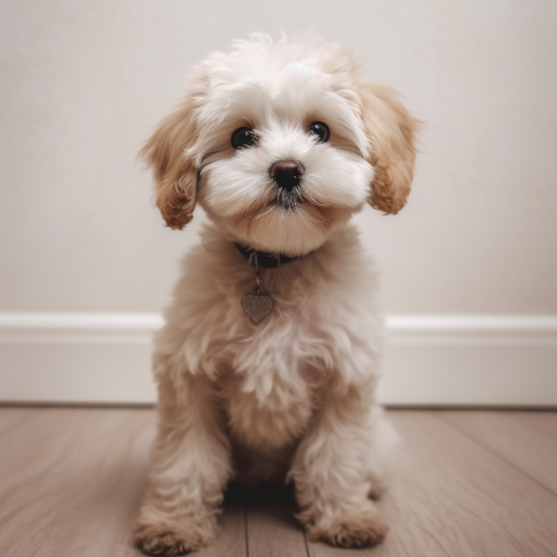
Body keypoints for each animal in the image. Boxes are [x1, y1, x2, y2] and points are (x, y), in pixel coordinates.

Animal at [132, 33, 414, 552]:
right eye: (242, 137)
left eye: (320, 130)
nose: (286, 170)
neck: (276, 265)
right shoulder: (190, 379)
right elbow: (187, 459)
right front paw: (173, 524)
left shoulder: (343, 381)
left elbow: (336, 456)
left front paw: (345, 517)